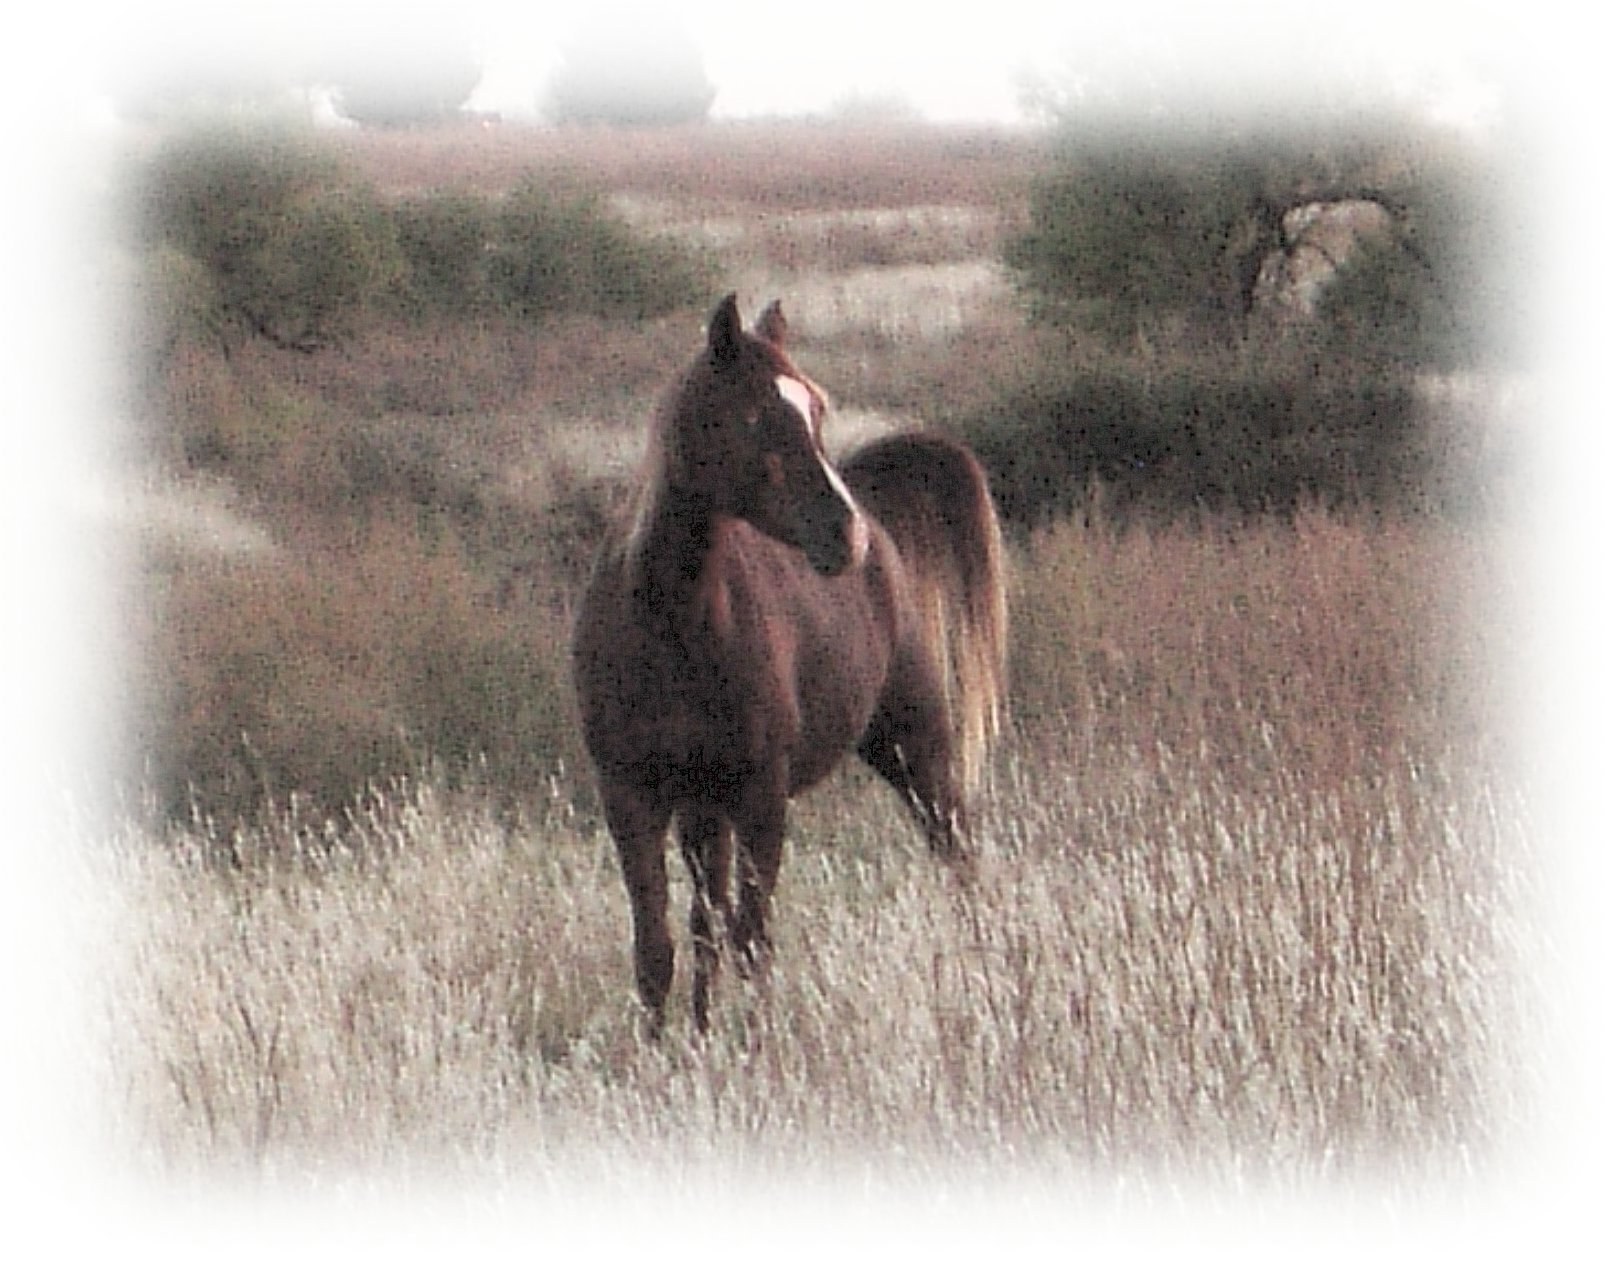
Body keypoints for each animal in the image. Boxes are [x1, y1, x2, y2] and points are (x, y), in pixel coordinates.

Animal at [571, 293, 1008, 1035]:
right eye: (753, 415)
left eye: (818, 407)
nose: (843, 533)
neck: (670, 628)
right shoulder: (633, 794)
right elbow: (659, 947)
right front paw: (664, 1048)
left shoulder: (760, 795)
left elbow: (751, 940)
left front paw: (755, 1045)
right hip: (703, 810)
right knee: (703, 922)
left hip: (912, 746)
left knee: (957, 853)